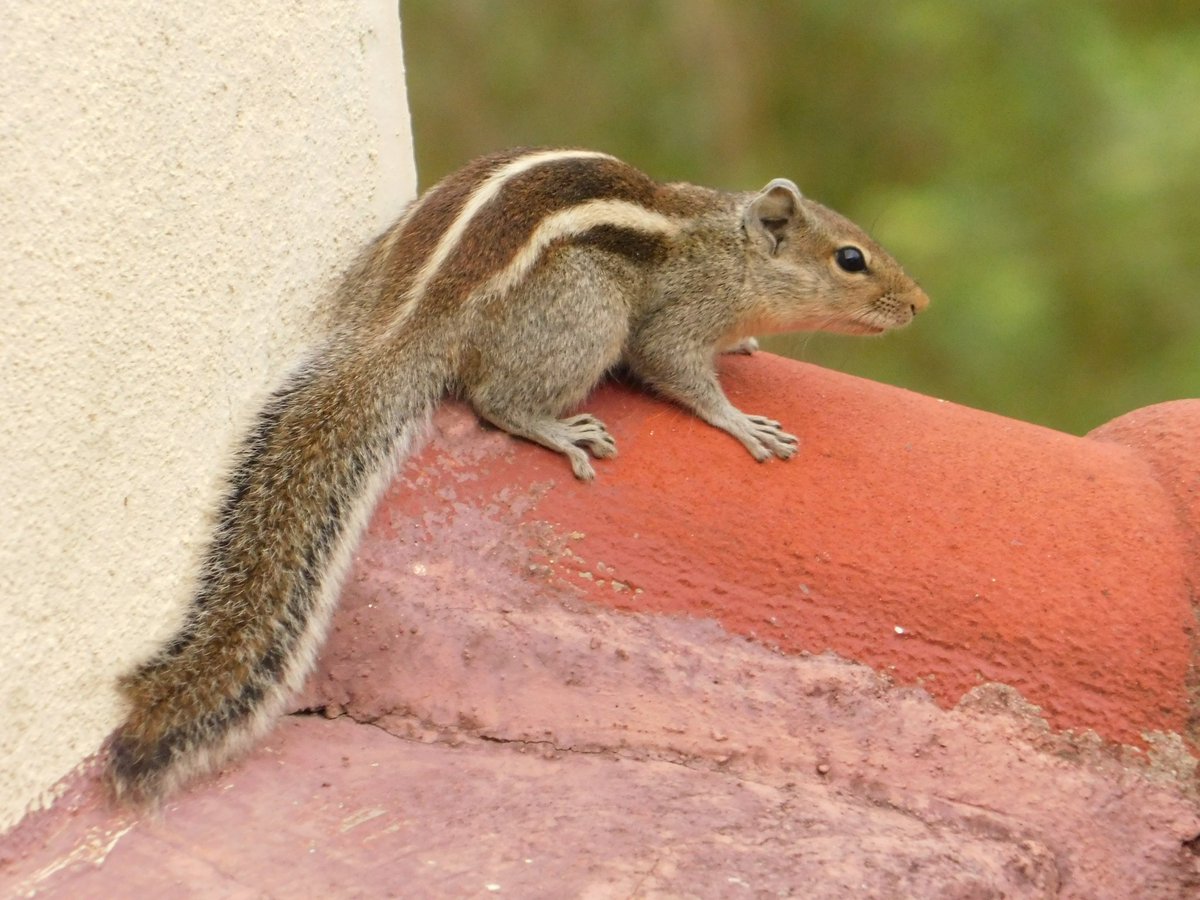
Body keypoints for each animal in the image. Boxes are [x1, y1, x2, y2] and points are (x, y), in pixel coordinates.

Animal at [108, 146, 926, 801]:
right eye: (850, 259)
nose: (920, 302)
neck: (727, 243)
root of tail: (407, 319)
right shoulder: (676, 315)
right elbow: (675, 368)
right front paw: (739, 420)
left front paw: (748, 346)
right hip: (586, 309)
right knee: (497, 400)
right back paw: (557, 429)